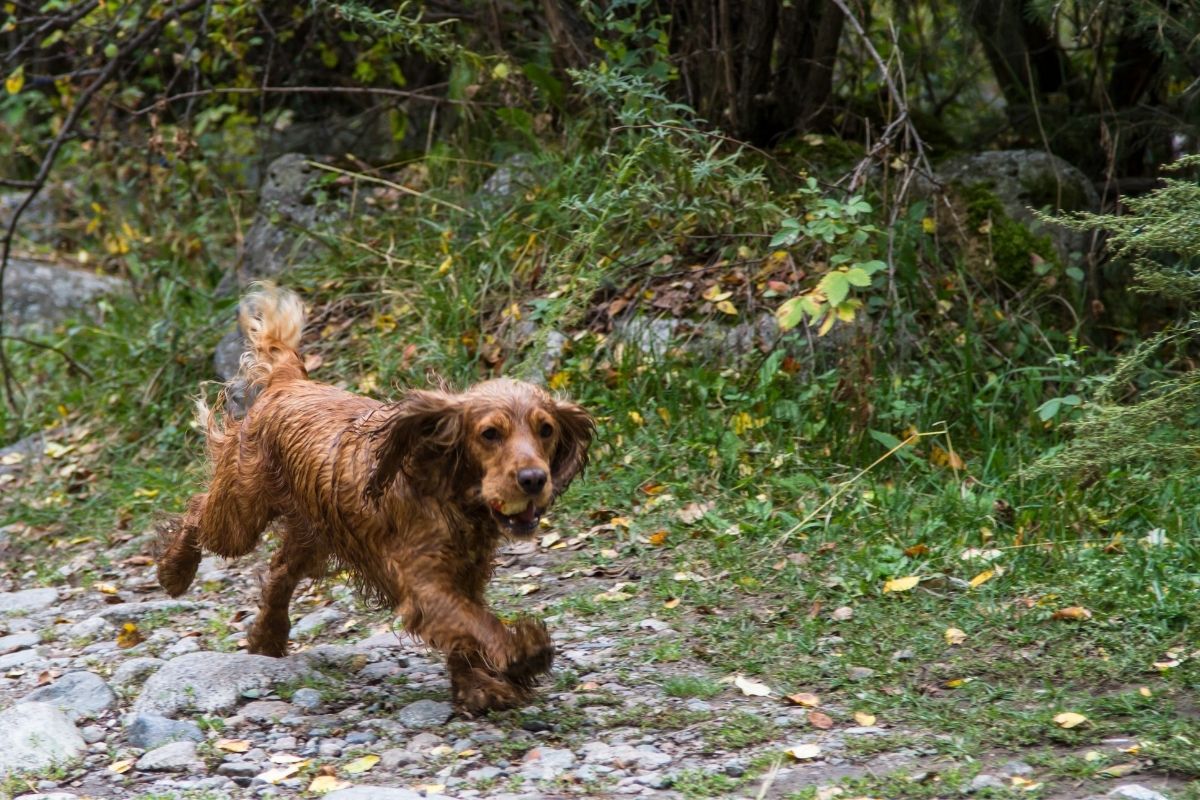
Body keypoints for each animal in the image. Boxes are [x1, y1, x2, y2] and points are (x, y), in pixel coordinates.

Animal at [157, 284, 592, 710]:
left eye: (546, 429)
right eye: (490, 434)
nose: (534, 479)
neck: (449, 495)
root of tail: (288, 380)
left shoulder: (467, 574)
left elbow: (464, 630)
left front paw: (477, 687)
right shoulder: (423, 582)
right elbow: (476, 623)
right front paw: (523, 654)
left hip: (311, 533)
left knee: (280, 572)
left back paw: (268, 637)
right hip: (240, 514)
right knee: (196, 512)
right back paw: (173, 572)